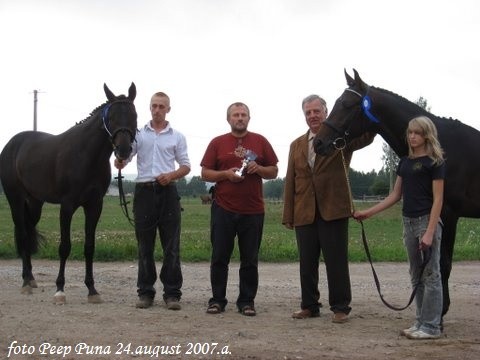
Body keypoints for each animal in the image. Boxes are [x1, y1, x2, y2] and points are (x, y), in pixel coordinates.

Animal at [0, 83, 139, 304]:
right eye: (111, 117)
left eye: (134, 115)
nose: (124, 150)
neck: (86, 156)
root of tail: (11, 144)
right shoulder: (67, 206)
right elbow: (64, 247)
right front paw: (60, 290)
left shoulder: (94, 206)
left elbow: (89, 247)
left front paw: (92, 290)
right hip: (16, 200)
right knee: (22, 234)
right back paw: (26, 283)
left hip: (35, 203)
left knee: (28, 233)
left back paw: (30, 279)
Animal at [314, 70, 480, 318]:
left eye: (346, 104)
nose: (318, 142)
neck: (443, 146)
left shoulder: (448, 214)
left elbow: (443, 264)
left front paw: (439, 314)